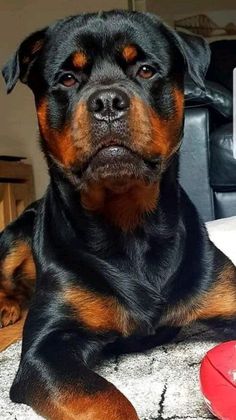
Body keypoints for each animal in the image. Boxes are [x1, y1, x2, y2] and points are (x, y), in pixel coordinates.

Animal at [1, 9, 236, 420]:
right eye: (67, 78)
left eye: (145, 70)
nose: (107, 101)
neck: (130, 225)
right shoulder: (47, 349)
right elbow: (103, 398)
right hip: (13, 236)